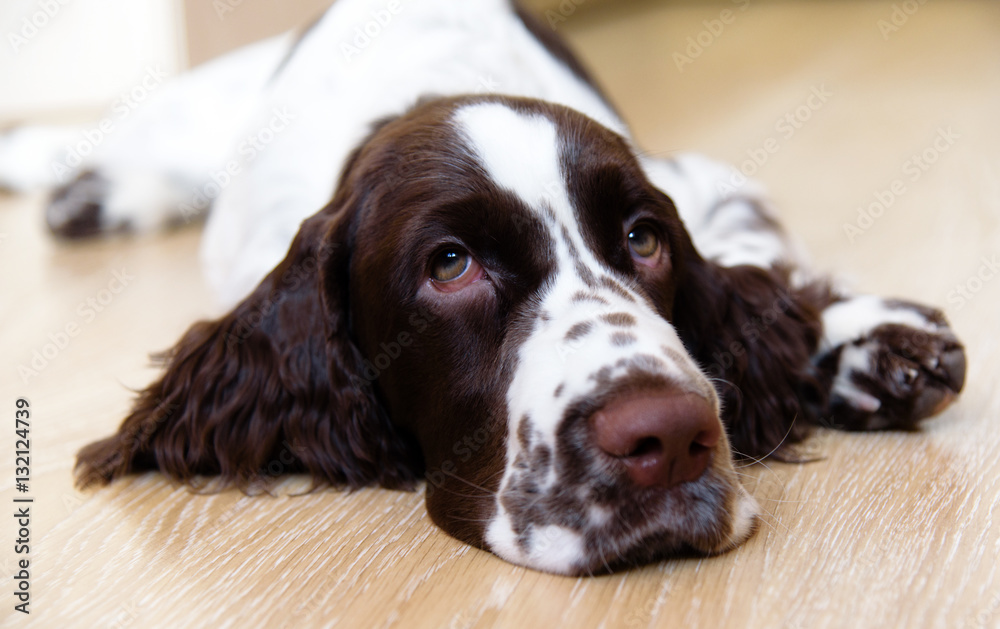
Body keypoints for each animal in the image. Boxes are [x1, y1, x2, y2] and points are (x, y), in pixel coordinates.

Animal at [1, 0, 968, 576]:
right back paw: (76, 182)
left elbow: (759, 272)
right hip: (201, 106)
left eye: (642, 237)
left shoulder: (697, 181)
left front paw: (869, 341)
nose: (669, 435)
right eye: (450, 264)